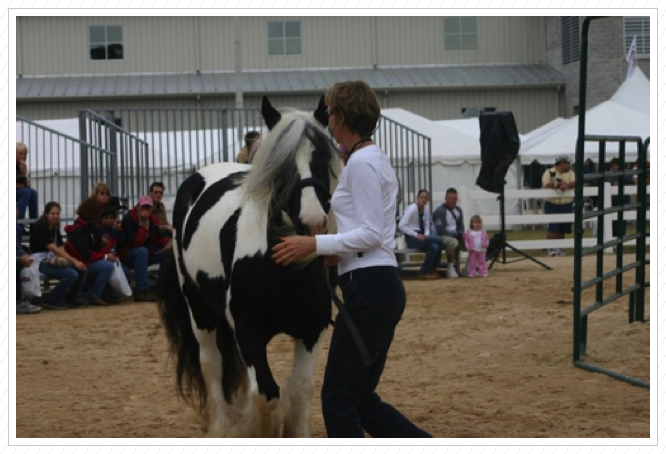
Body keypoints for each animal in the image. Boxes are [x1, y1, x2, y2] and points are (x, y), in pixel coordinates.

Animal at [158, 95, 340, 436]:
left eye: (323, 158)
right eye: (280, 165)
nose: (312, 224)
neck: (284, 272)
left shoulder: (312, 328)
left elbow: (299, 389)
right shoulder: (248, 330)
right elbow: (267, 394)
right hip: (199, 309)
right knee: (211, 363)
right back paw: (220, 424)